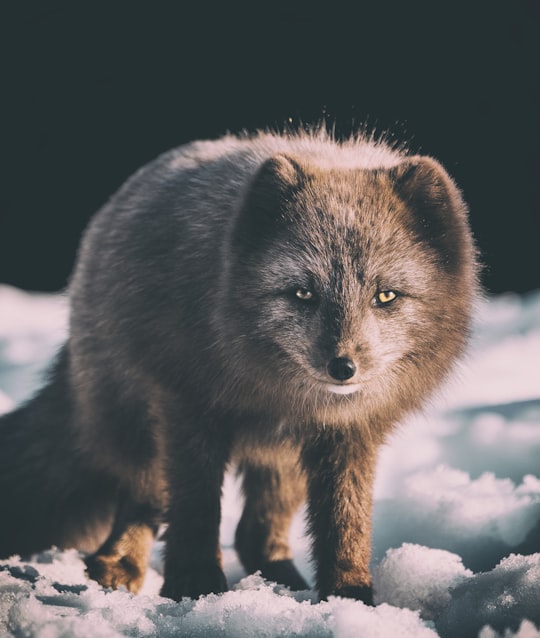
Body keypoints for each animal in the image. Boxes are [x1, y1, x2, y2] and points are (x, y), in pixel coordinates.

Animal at [0, 127, 478, 604]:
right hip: (140, 429)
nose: (342, 367)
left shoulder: (351, 434)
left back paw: (280, 583)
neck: (276, 392)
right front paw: (195, 583)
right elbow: (196, 508)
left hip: (283, 461)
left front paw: (349, 596)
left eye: (386, 296)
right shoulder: (189, 409)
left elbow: (347, 523)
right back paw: (119, 565)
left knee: (255, 535)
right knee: (143, 502)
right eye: (303, 293)